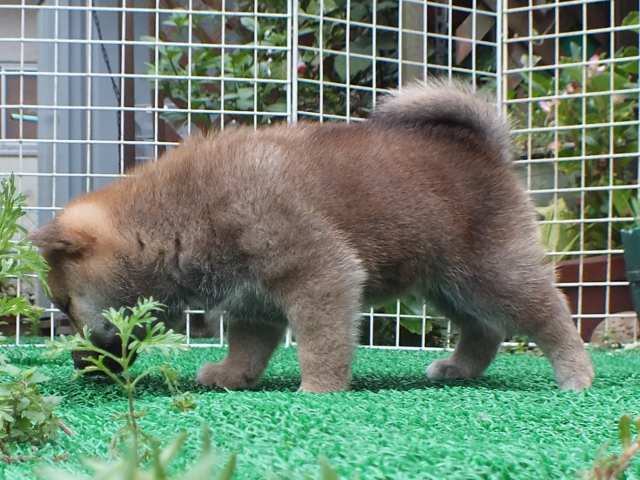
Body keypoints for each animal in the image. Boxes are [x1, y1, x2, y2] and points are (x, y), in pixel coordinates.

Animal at [28, 80, 592, 392]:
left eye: (65, 307)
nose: (78, 362)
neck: (179, 216)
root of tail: (483, 149)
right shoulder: (253, 301)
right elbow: (249, 348)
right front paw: (232, 376)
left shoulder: (321, 276)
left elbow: (322, 344)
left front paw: (319, 388)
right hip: (447, 286)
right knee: (484, 329)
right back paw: (461, 368)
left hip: (492, 273)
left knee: (549, 315)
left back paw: (576, 374)